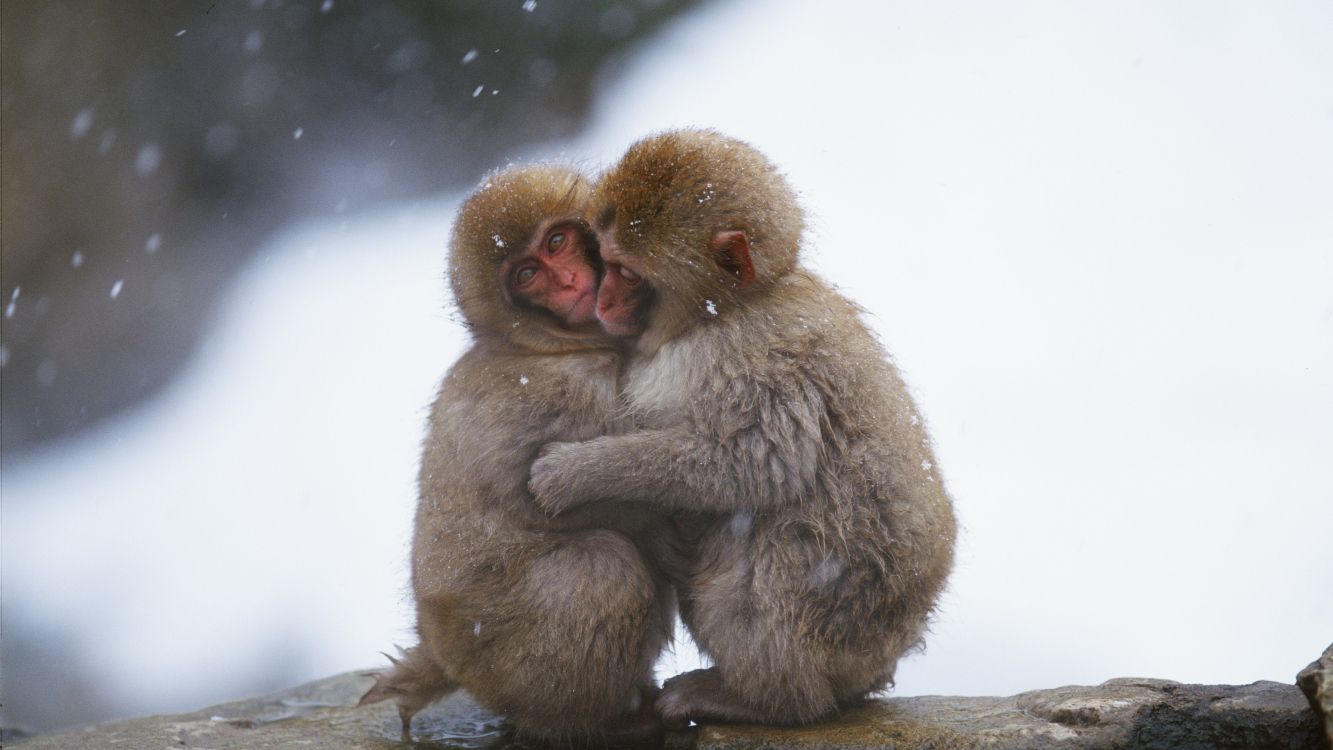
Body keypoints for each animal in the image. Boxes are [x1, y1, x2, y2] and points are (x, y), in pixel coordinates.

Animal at [530, 131, 959, 730]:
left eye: (628, 273)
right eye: (604, 262)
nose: (602, 300)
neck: (723, 312)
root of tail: (883, 656)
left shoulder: (753, 359)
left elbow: (757, 464)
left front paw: (576, 473)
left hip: (837, 620)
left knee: (771, 541)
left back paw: (765, 699)